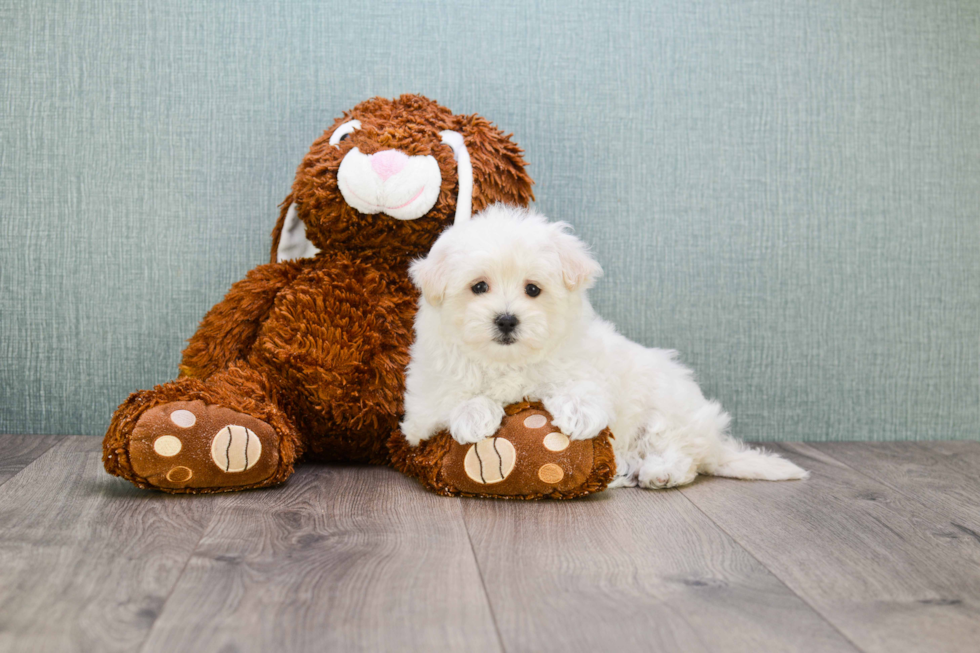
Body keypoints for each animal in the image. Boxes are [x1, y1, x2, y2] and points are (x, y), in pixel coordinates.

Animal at [398, 206, 804, 486]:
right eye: (479, 287)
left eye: (533, 289)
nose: (507, 320)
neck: (508, 361)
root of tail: (714, 443)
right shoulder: (423, 403)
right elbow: (453, 397)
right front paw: (474, 414)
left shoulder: (583, 362)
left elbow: (580, 383)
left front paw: (579, 413)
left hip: (667, 403)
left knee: (679, 450)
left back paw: (659, 472)